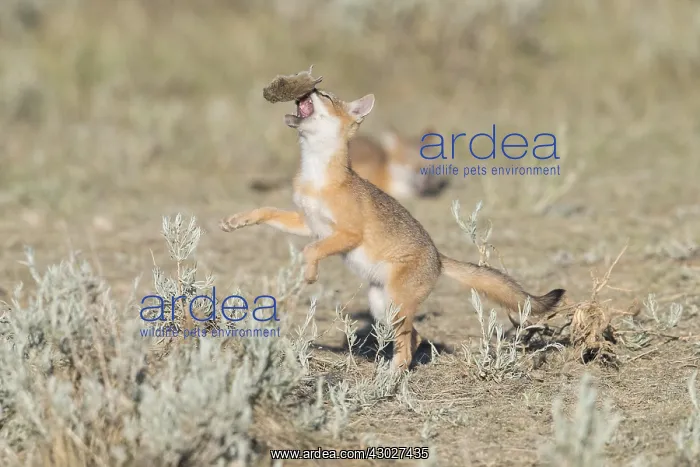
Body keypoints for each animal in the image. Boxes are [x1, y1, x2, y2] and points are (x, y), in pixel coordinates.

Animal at [220, 88, 565, 370]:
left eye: (326, 95)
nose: (309, 88)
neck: (316, 177)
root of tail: (438, 258)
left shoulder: (346, 234)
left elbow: (311, 250)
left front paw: (309, 273)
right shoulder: (309, 222)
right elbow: (269, 211)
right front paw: (238, 220)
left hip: (396, 307)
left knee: (410, 345)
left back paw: (392, 376)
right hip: (382, 306)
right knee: (415, 338)